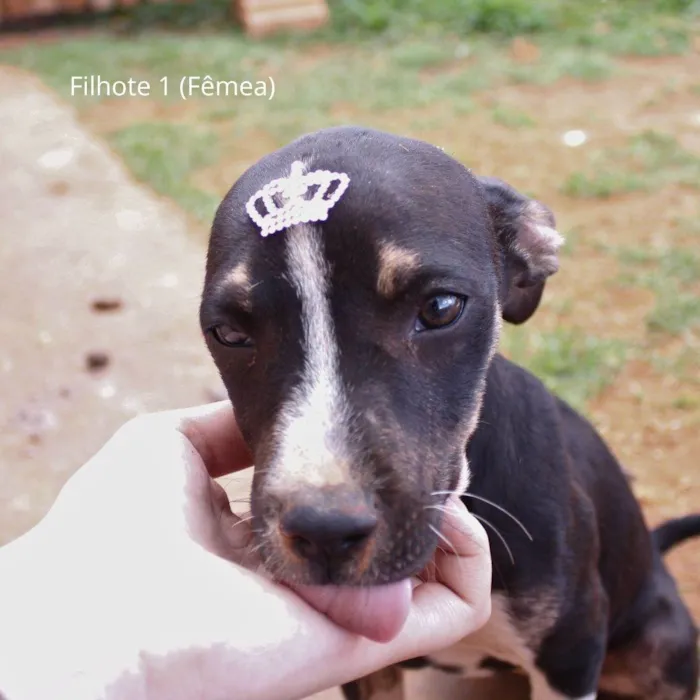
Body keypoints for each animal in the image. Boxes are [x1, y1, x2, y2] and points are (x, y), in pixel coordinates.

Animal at [198, 127, 700, 700]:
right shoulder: (369, 672)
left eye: (440, 308)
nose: (323, 531)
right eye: (228, 333)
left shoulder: (572, 651)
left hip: (659, 649)